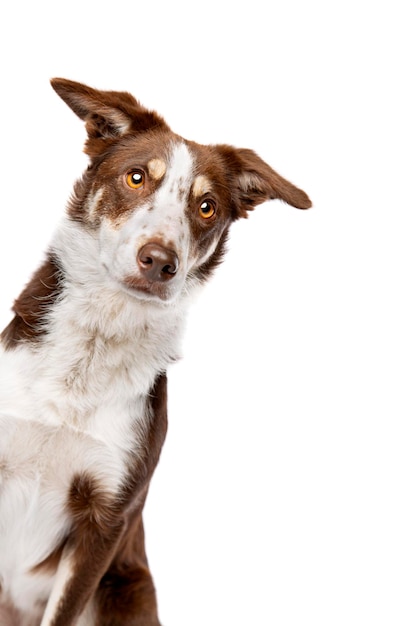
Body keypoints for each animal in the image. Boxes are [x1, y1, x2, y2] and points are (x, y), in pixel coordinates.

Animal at [0, 79, 310, 624]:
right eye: (136, 177)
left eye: (206, 206)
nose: (160, 261)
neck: (95, 341)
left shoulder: (107, 520)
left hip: (126, 592)